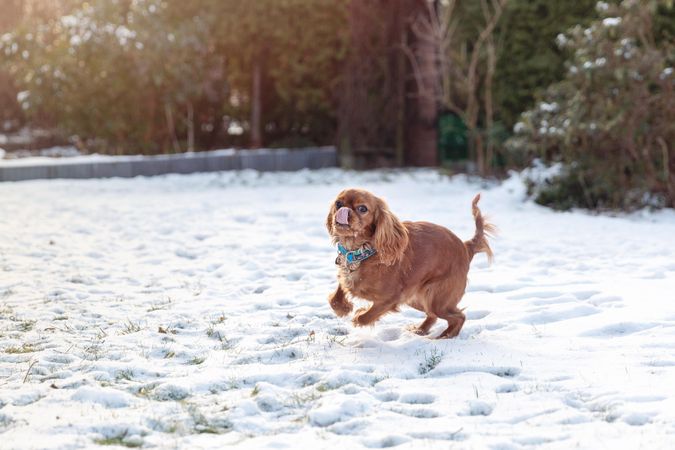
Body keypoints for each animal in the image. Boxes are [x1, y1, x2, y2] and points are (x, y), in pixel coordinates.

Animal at [324, 188, 494, 340]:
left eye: (362, 208)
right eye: (338, 203)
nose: (343, 209)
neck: (359, 252)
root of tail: (466, 247)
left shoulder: (391, 299)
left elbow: (366, 316)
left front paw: (358, 315)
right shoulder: (346, 277)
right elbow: (336, 297)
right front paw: (344, 308)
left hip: (436, 299)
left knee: (459, 316)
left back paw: (445, 336)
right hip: (417, 299)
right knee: (433, 316)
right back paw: (420, 330)